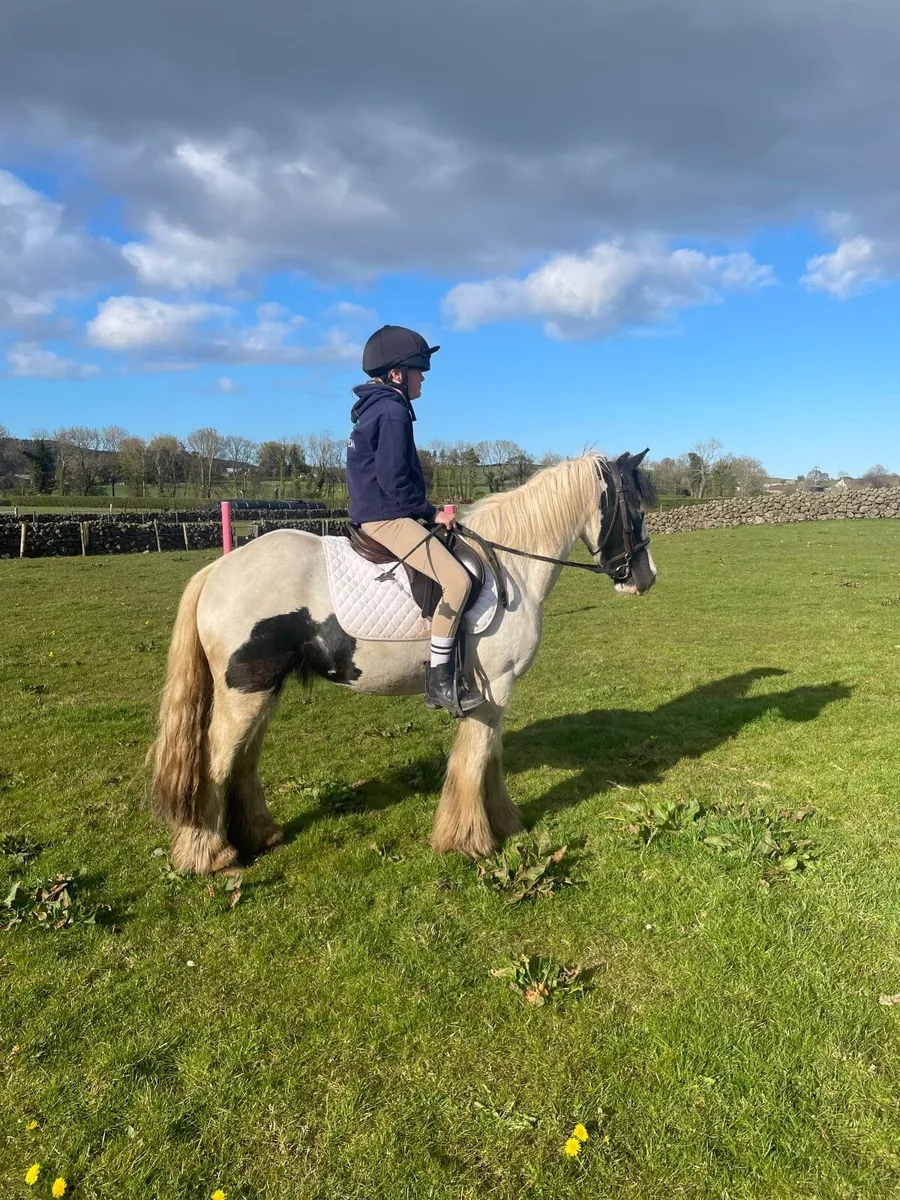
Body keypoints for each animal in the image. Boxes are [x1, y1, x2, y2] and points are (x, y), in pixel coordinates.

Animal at [148, 451, 658, 875]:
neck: (510, 568)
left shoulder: (496, 692)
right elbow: (475, 759)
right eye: (634, 510)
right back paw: (208, 855)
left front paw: (504, 821)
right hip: (245, 691)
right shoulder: (494, 687)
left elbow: (490, 757)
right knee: (216, 762)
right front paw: (470, 840)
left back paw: (259, 835)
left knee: (244, 760)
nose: (647, 578)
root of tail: (219, 569)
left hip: (264, 690)